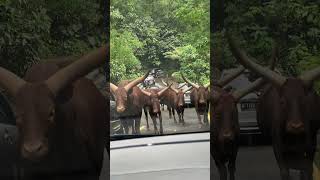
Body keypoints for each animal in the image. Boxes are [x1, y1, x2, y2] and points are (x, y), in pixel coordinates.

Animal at [228, 31, 320, 179]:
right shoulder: (278, 147)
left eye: (305, 100)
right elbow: (285, 171)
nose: (295, 126)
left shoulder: (311, 146)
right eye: (282, 101)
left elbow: (307, 170)